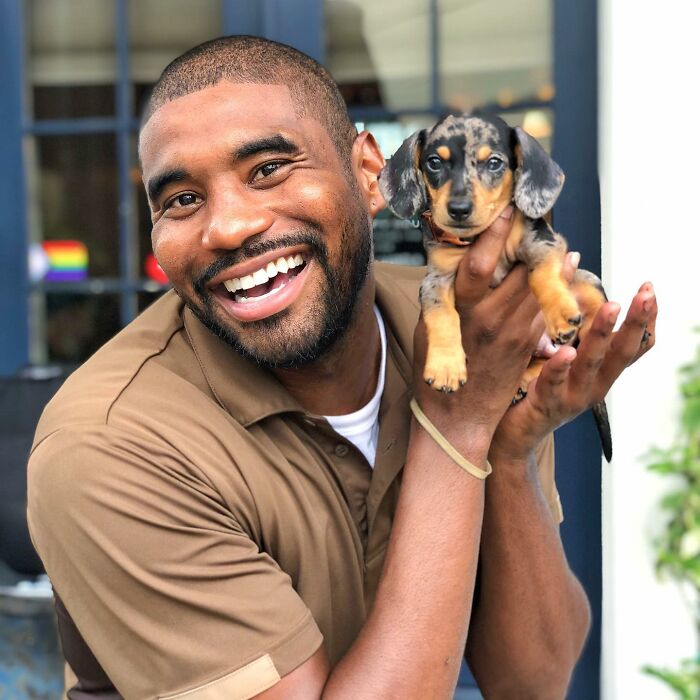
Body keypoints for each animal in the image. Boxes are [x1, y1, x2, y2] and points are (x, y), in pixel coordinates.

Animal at [378, 113, 612, 462]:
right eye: (434, 162)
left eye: (494, 163)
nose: (459, 209)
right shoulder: (436, 278)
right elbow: (442, 314)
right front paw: (446, 365)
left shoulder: (541, 241)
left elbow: (541, 274)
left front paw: (559, 312)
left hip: (585, 277)